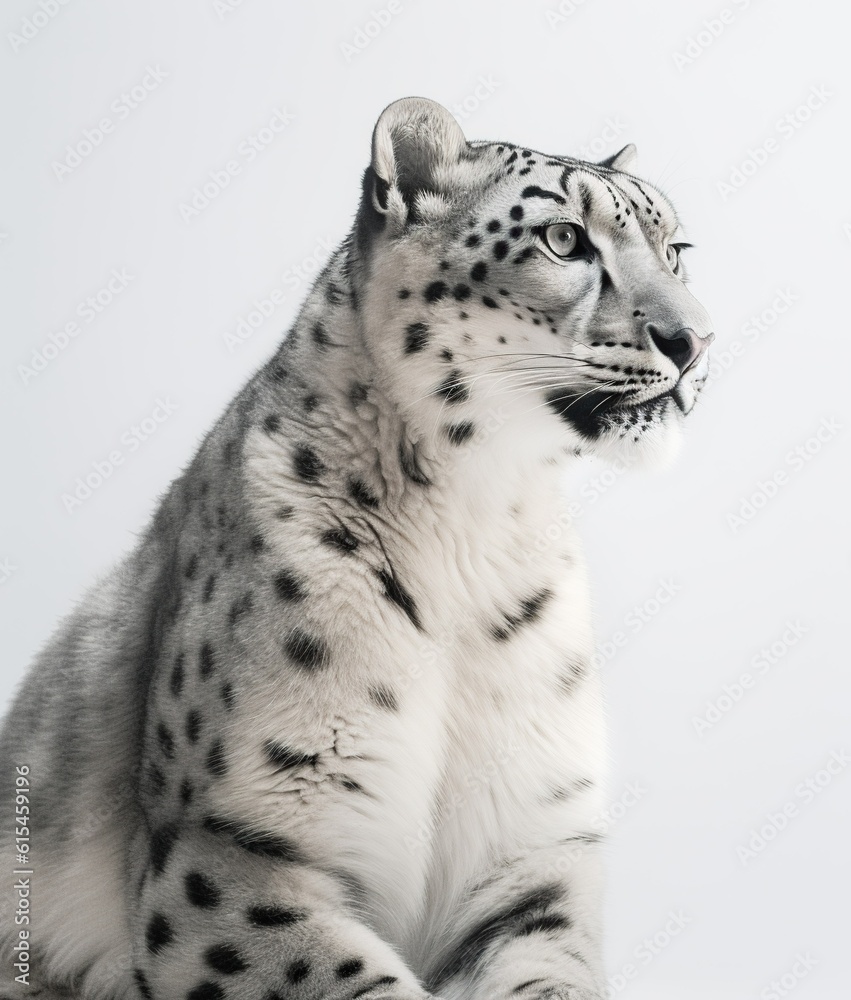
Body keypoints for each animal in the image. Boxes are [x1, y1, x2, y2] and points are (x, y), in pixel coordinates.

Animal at [0, 97, 713, 1000]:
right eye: (563, 238)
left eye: (676, 249)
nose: (695, 341)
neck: (480, 523)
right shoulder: (231, 850)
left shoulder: (529, 856)